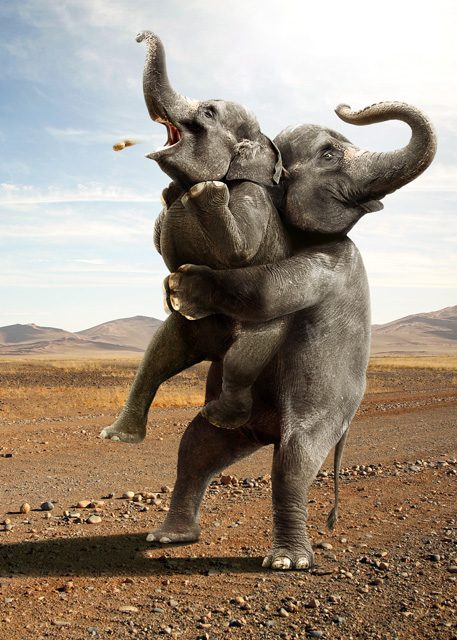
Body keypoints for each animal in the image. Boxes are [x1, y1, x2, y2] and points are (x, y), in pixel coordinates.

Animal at [100, 30, 291, 443]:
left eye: (207, 114)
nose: (138, 36)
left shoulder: (254, 197)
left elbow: (239, 251)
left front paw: (206, 190)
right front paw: (169, 193)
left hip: (269, 321)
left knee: (242, 358)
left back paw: (221, 419)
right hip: (194, 326)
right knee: (158, 352)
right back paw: (117, 436)